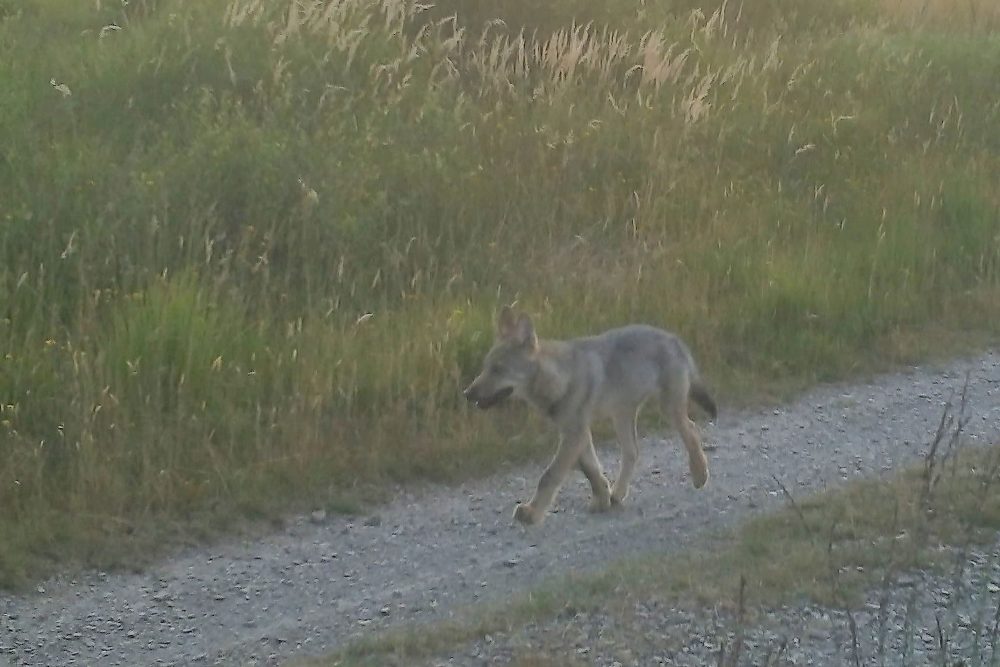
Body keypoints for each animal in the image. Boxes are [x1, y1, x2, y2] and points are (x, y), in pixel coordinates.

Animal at [464, 306, 716, 528]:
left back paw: (699, 475)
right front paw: (602, 499)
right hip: (622, 417)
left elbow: (550, 476)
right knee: (633, 452)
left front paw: (532, 513)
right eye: (485, 368)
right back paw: (618, 494)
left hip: (668, 409)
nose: (467, 393)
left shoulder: (574, 433)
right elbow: (592, 471)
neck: (559, 379)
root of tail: (674, 338)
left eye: (498, 369)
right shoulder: (577, 433)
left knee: (692, 431)